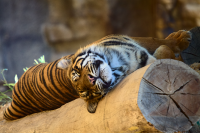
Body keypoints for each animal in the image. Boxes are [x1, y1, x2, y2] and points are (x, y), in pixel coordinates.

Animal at [3, 29, 191, 120]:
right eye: (89, 93)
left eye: (77, 73)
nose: (93, 80)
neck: (117, 62)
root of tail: (16, 100)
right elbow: (163, 52)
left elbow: (155, 40)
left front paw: (180, 38)